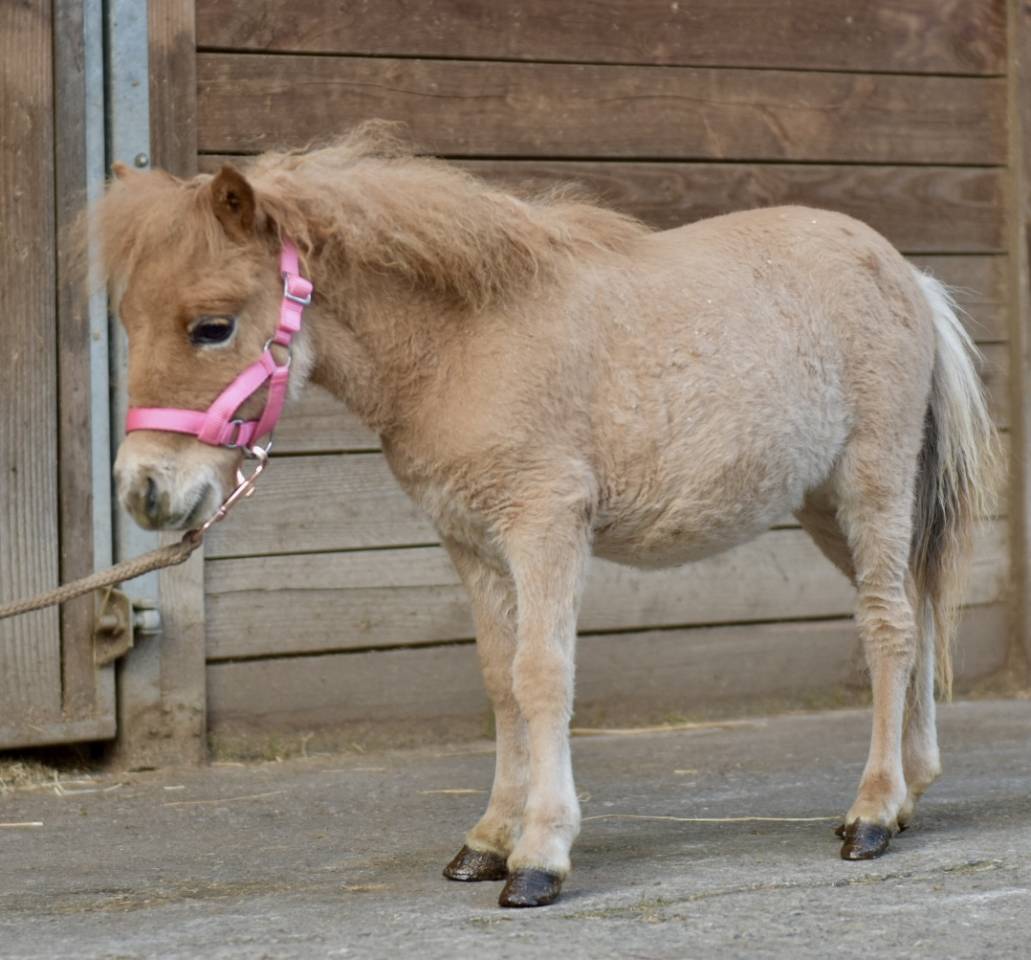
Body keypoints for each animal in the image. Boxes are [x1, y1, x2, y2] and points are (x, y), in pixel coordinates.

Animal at [92, 122, 997, 908]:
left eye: (212, 327)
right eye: (127, 320)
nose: (144, 489)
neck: (464, 344)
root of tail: (906, 274)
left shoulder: (544, 526)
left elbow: (542, 675)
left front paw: (539, 857)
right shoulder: (471, 541)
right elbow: (500, 680)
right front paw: (488, 840)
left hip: (871, 483)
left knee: (887, 625)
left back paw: (870, 812)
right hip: (821, 508)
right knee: (913, 610)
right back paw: (908, 791)